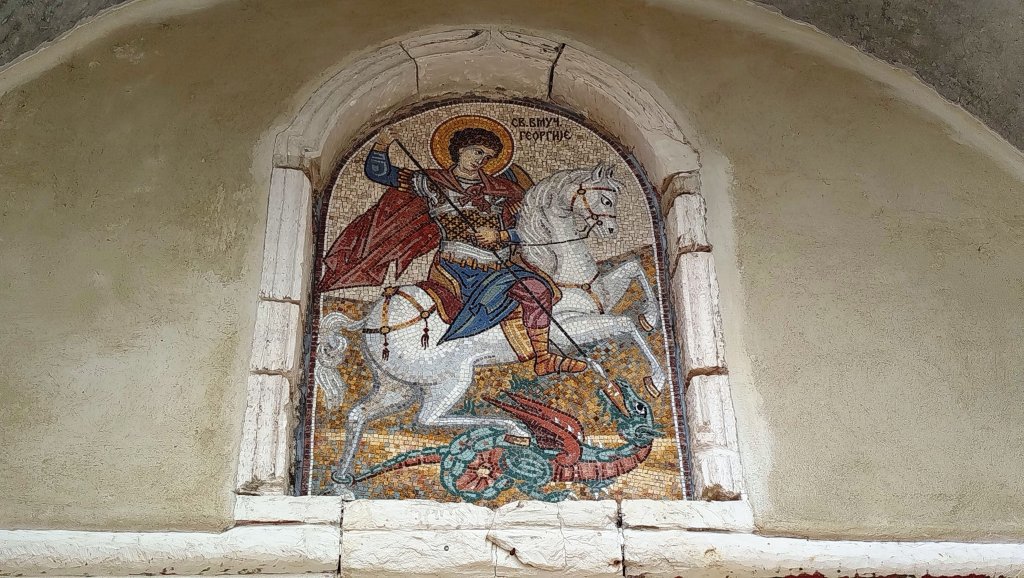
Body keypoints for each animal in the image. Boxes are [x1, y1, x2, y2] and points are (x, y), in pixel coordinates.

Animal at [315, 162, 668, 488]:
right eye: (605, 199)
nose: (610, 230)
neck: (555, 268)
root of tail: (371, 320)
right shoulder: (565, 327)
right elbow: (624, 322)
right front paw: (655, 379)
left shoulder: (601, 298)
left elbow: (634, 269)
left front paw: (651, 316)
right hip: (450, 376)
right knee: (427, 419)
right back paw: (513, 427)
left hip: (398, 387)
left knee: (359, 414)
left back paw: (342, 478)